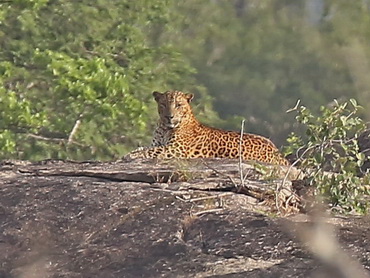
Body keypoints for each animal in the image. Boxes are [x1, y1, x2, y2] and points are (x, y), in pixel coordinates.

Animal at [125, 90, 290, 166]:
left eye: (178, 105)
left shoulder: (176, 149)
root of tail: (280, 155)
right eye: (163, 104)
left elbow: (151, 151)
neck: (165, 128)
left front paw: (130, 156)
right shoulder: (158, 144)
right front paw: (131, 153)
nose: (169, 117)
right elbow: (144, 148)